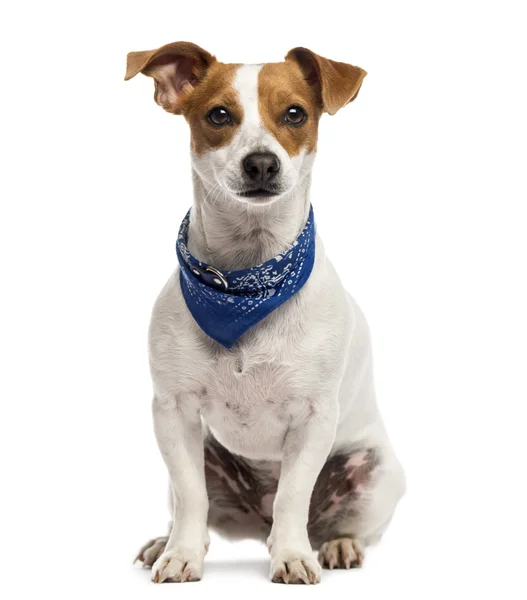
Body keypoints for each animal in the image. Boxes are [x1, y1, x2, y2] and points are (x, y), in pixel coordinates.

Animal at [126, 39, 406, 584]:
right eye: (218, 115)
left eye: (295, 113)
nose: (261, 163)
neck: (246, 284)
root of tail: (257, 522)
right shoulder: (172, 411)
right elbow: (191, 497)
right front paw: (181, 554)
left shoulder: (315, 417)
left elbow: (294, 496)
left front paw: (293, 556)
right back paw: (165, 541)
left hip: (377, 471)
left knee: (340, 524)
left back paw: (336, 544)